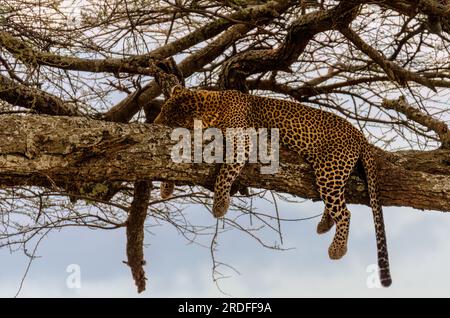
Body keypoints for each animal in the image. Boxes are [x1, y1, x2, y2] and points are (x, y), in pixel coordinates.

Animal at [153, 85, 392, 286]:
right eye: (162, 110)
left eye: (167, 116)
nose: (154, 123)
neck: (211, 105)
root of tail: (360, 135)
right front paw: (166, 188)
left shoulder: (241, 142)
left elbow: (224, 173)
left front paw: (220, 205)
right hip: (329, 173)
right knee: (336, 202)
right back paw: (324, 224)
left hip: (330, 170)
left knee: (344, 213)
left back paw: (337, 249)